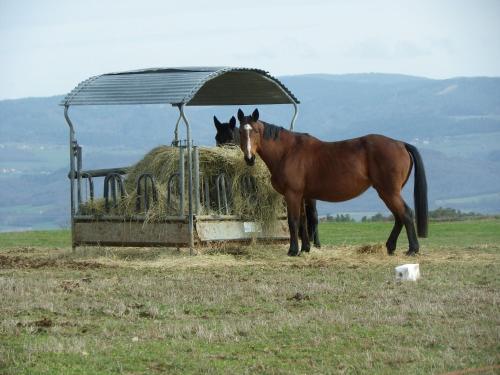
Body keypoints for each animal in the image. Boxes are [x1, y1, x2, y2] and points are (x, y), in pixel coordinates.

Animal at [213, 115, 322, 250]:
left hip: (310, 198)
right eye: (217, 138)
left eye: (231, 137)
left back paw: (316, 243)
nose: (221, 156)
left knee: (314, 216)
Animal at [236, 107, 428, 258]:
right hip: (387, 192)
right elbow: (304, 222)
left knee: (406, 214)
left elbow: (293, 221)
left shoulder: (292, 194)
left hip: (388, 191)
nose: (249, 158)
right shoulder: (302, 195)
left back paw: (412, 249)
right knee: (399, 217)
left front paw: (293, 250)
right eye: (240, 132)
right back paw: (390, 247)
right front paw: (305, 249)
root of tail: (401, 144)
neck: (288, 151)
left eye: (255, 131)